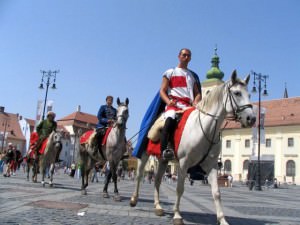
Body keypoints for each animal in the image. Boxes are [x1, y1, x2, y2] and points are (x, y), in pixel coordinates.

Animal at [129, 71, 255, 225]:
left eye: (249, 94)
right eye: (237, 93)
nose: (251, 119)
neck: (204, 128)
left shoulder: (212, 165)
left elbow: (216, 193)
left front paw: (222, 219)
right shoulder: (183, 163)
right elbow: (179, 189)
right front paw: (177, 215)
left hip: (163, 160)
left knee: (157, 180)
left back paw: (158, 207)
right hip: (145, 155)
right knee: (140, 175)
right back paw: (134, 199)